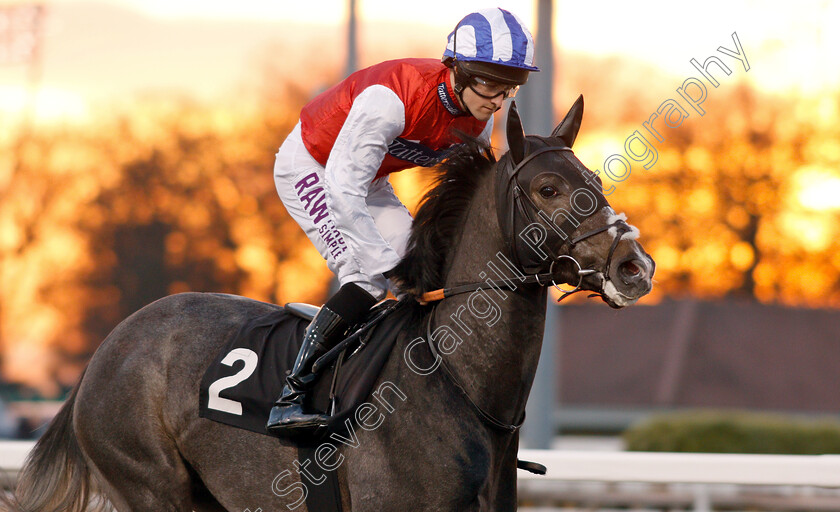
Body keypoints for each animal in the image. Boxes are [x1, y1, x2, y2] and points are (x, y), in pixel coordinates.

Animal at [1, 97, 656, 512]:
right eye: (548, 189)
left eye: (595, 180)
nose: (635, 265)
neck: (453, 381)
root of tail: (109, 346)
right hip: (149, 483)